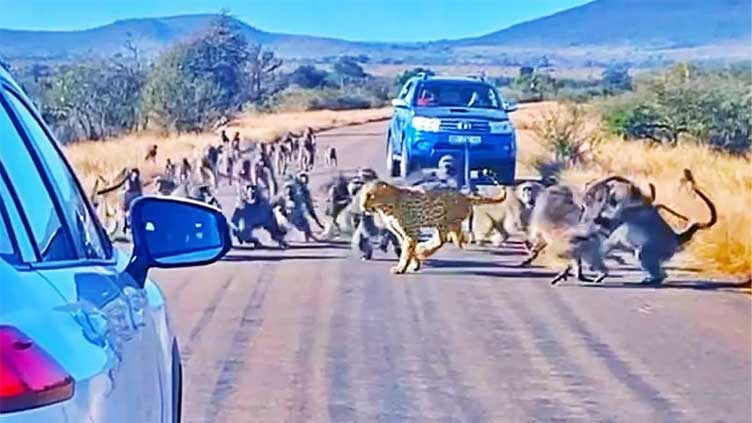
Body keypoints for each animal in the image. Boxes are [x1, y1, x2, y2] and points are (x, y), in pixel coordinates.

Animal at [362, 181, 508, 274]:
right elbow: (407, 249)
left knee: (451, 238)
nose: (362, 206)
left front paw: (401, 268)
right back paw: (423, 249)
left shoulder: (411, 231)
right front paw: (415, 263)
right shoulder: (401, 233)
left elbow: (406, 251)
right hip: (441, 223)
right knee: (444, 239)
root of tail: (465, 196)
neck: (386, 205)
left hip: (446, 222)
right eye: (363, 195)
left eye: (370, 195)